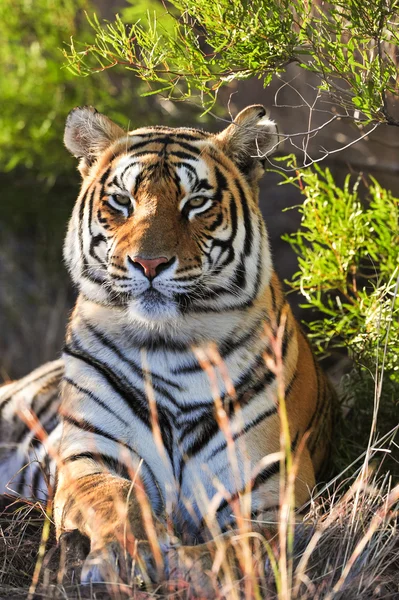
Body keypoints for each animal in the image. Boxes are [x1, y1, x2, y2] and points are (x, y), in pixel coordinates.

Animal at [0, 105, 334, 592]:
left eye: (195, 203)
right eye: (122, 201)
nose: (149, 263)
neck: (169, 346)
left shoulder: (268, 491)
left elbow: (243, 549)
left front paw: (188, 566)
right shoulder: (91, 454)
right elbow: (112, 499)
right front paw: (126, 554)